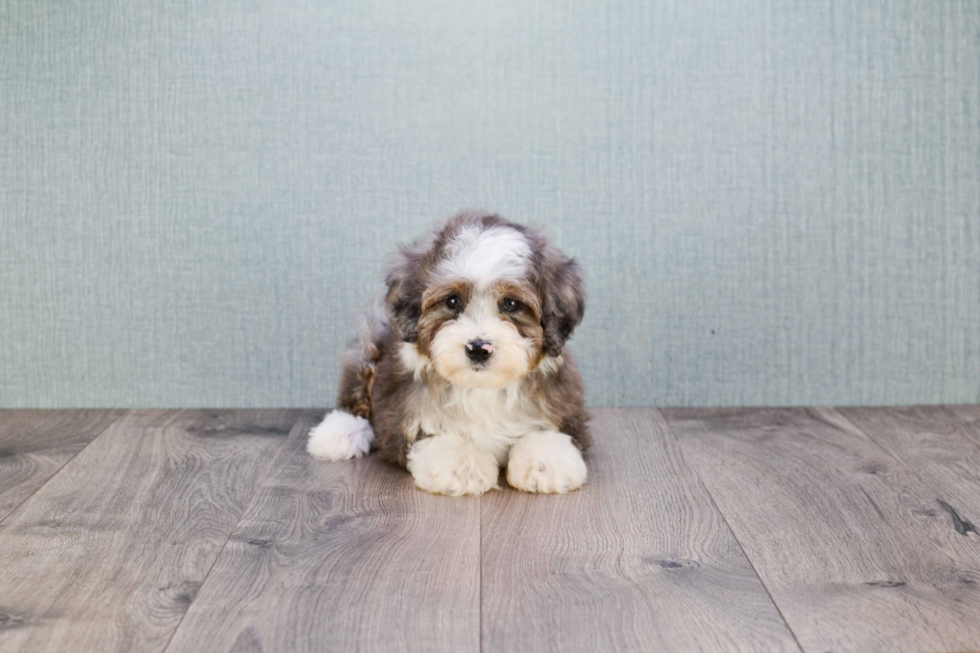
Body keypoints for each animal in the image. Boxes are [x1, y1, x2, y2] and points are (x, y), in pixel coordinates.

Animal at [306, 209, 588, 494]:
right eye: (452, 301)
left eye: (511, 304)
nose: (478, 348)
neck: (481, 388)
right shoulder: (402, 415)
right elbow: (435, 436)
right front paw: (461, 465)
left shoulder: (564, 406)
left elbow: (544, 431)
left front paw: (545, 463)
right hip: (369, 337)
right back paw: (339, 432)